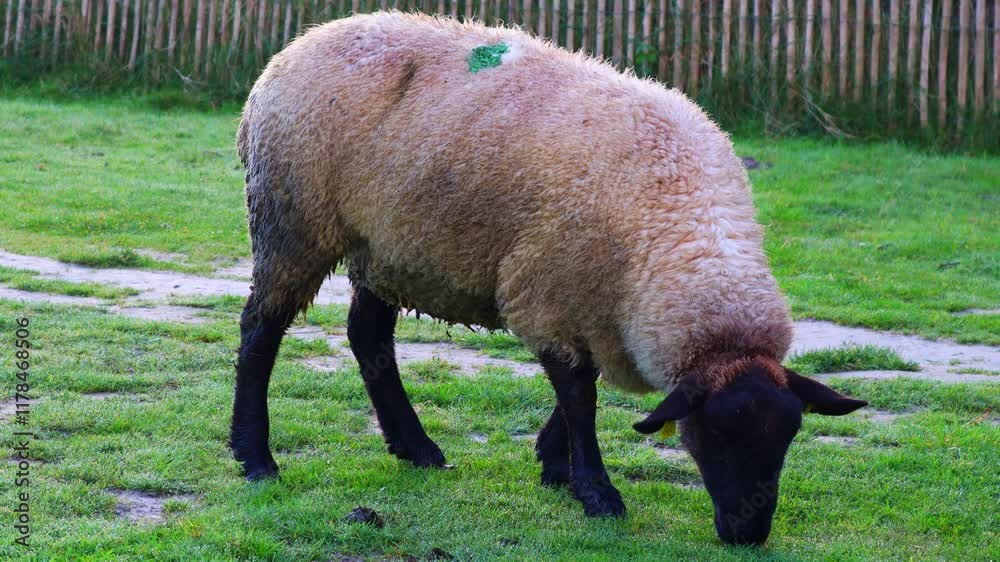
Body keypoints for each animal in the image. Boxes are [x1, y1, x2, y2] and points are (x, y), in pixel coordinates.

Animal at [231, 11, 867, 546]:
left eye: (788, 438)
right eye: (712, 435)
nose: (747, 534)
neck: (682, 226)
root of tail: (295, 47)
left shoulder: (595, 302)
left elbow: (579, 390)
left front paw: (555, 464)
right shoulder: (548, 292)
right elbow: (580, 394)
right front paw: (597, 492)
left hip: (387, 244)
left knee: (368, 337)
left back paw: (416, 448)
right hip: (294, 221)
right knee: (260, 330)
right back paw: (256, 457)